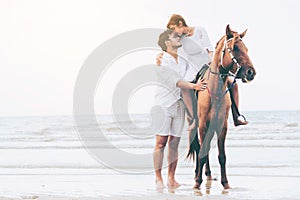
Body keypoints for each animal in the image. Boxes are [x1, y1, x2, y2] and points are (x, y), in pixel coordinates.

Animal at [191, 24, 256, 189]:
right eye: (235, 48)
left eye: (246, 49)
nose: (251, 72)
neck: (214, 92)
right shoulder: (202, 125)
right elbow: (201, 152)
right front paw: (197, 183)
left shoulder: (222, 126)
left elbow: (222, 156)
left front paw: (225, 183)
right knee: (200, 148)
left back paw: (207, 174)